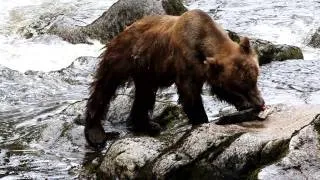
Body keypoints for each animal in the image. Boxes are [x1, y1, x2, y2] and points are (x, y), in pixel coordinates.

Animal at [84, 9, 264, 148]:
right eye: (241, 85)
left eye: (254, 79)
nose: (260, 103)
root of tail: (124, 29)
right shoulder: (185, 61)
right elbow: (189, 93)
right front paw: (201, 120)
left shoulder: (208, 69)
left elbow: (218, 88)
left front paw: (243, 104)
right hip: (123, 56)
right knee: (105, 87)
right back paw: (96, 133)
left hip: (147, 70)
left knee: (144, 95)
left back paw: (147, 124)